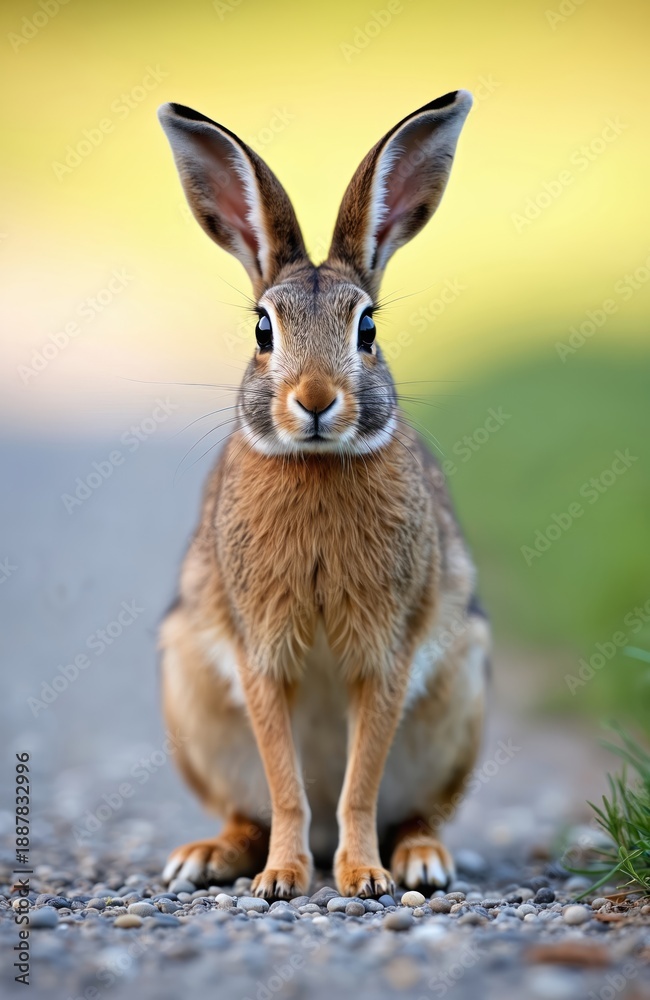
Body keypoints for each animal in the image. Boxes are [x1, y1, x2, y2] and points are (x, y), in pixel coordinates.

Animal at [156, 90, 489, 899]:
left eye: (367, 327)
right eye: (261, 328)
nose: (313, 400)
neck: (314, 463)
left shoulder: (387, 649)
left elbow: (360, 782)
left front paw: (363, 877)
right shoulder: (260, 652)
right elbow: (285, 781)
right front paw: (282, 880)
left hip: (459, 702)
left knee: (414, 812)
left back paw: (419, 862)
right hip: (191, 698)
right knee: (250, 811)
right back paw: (210, 858)